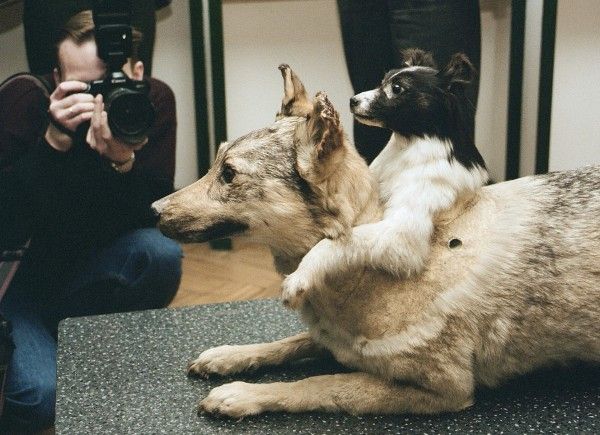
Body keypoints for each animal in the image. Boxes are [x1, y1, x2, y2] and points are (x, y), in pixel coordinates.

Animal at [284, 48, 490, 306]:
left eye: (397, 88)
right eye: (382, 82)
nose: (352, 100)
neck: (409, 147)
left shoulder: (400, 233)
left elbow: (334, 244)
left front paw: (299, 277)